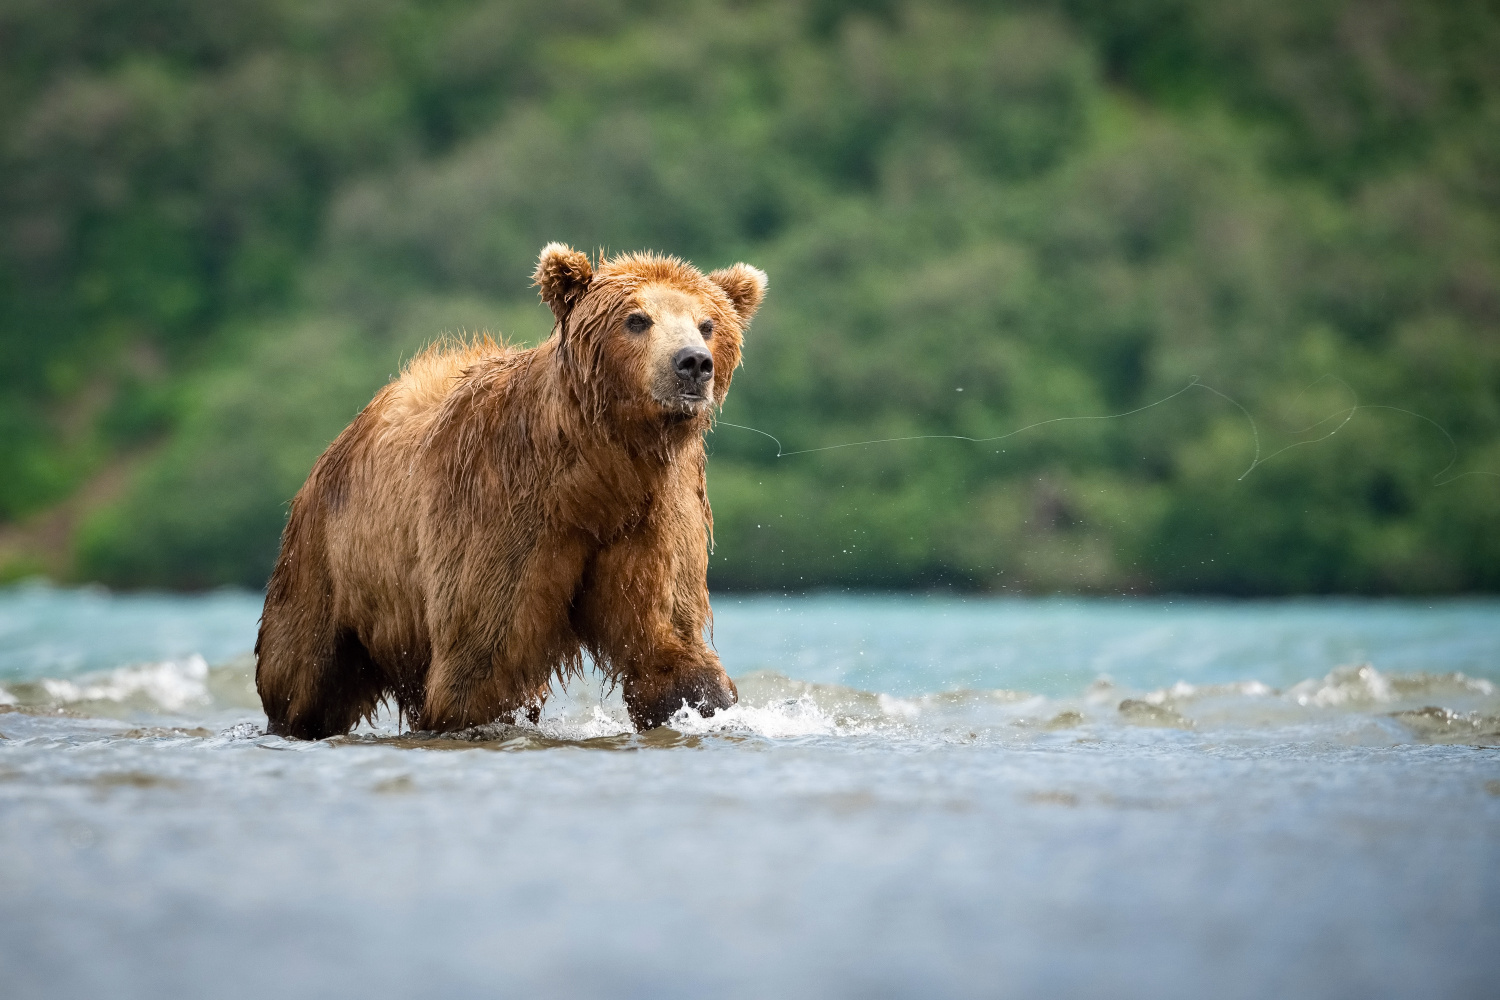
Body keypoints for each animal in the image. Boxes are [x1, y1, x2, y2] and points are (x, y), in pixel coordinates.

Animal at [253, 245, 768, 740]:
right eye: (637, 319)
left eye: (707, 323)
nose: (693, 363)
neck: (599, 474)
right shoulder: (502, 510)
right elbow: (485, 660)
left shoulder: (651, 514)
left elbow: (669, 638)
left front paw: (702, 705)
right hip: (328, 560)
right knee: (303, 670)